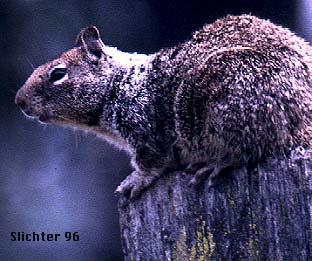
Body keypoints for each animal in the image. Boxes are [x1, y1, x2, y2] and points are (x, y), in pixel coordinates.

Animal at [15, 14, 312, 199]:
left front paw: (134, 181)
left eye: (57, 74)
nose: (19, 101)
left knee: (250, 147)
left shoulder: (144, 127)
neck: (119, 84)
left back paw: (216, 163)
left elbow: (151, 161)